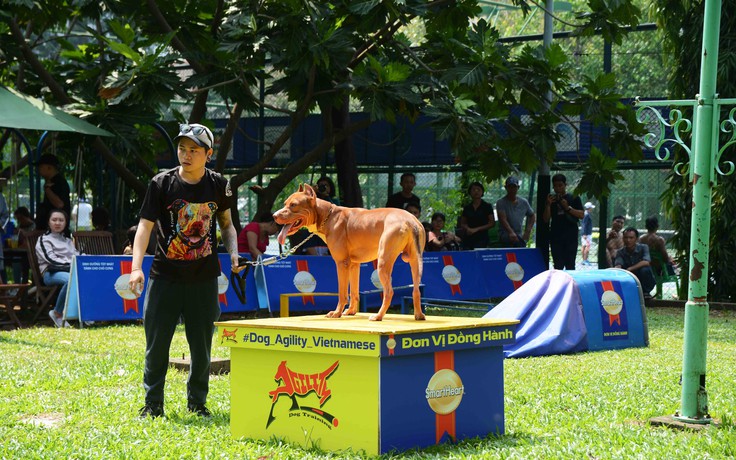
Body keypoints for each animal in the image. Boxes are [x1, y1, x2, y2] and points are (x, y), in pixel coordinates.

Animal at [274, 183, 426, 320]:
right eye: (285, 203)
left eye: (293, 205)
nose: (274, 216)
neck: (328, 216)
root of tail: (410, 220)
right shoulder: (354, 264)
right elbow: (353, 292)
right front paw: (351, 311)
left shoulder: (341, 263)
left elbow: (342, 293)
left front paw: (337, 313)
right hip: (414, 262)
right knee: (416, 290)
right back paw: (419, 315)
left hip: (383, 263)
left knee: (389, 292)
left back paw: (378, 316)